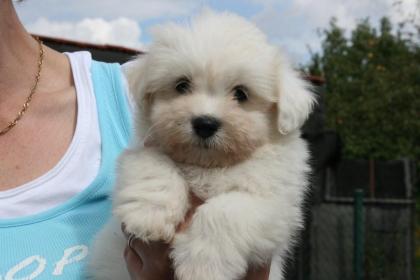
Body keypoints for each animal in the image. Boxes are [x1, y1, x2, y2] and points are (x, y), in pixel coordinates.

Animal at [89, 9, 316, 278]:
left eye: (241, 93)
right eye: (182, 85)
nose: (205, 123)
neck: (209, 166)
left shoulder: (278, 205)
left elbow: (225, 211)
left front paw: (202, 264)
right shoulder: (140, 150)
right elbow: (153, 164)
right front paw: (149, 215)